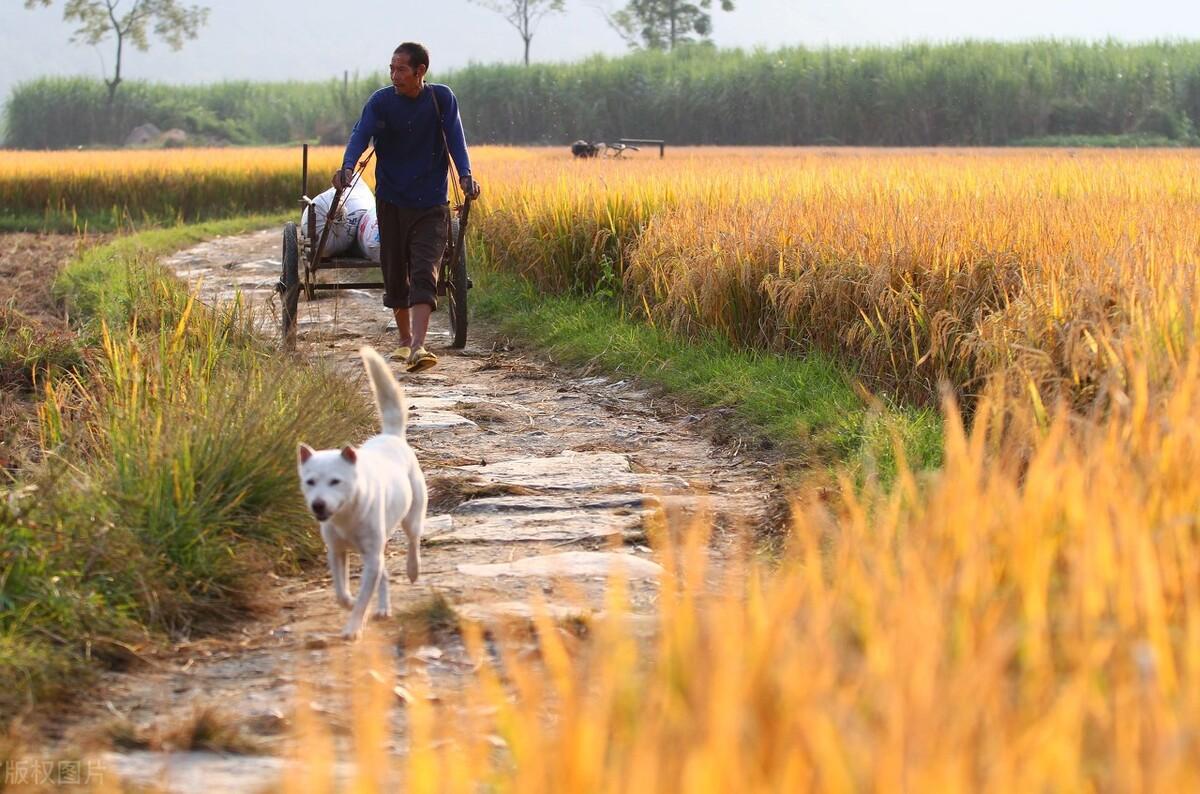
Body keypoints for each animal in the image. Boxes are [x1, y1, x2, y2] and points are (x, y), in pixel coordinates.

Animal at [296, 347, 424, 642]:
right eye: (310, 482)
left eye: (336, 481)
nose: (318, 505)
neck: (347, 516)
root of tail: (391, 436)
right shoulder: (336, 553)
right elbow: (342, 593)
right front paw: (352, 605)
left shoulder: (372, 557)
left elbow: (364, 596)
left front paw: (354, 627)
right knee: (385, 575)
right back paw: (383, 609)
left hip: (411, 517)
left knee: (413, 542)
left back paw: (413, 570)